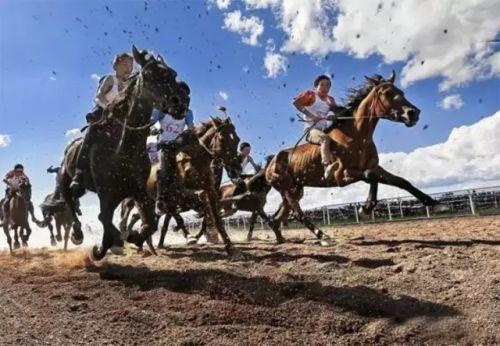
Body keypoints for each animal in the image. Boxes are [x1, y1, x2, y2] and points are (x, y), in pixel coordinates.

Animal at [58, 45, 191, 260]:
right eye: (148, 74)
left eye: (173, 73)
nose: (180, 101)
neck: (123, 149)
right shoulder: (107, 194)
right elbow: (105, 219)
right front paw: (104, 247)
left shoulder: (139, 191)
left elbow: (149, 223)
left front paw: (132, 237)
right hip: (64, 179)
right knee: (71, 203)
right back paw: (78, 235)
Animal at [268, 70, 448, 243]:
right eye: (386, 93)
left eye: (401, 92)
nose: (413, 113)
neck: (356, 135)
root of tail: (270, 164)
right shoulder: (342, 175)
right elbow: (371, 176)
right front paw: (365, 209)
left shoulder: (372, 166)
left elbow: (400, 181)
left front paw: (436, 204)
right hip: (288, 188)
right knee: (297, 213)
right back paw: (322, 236)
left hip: (295, 189)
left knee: (277, 217)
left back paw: (281, 238)